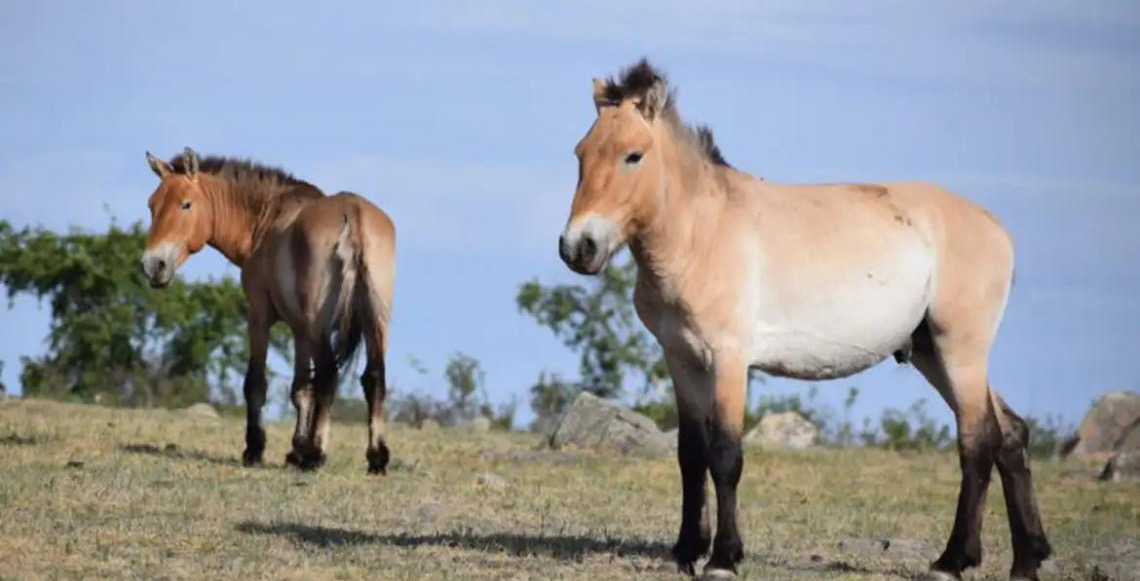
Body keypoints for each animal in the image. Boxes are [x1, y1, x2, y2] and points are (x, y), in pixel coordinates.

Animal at [141, 148, 396, 474]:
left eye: (186, 204)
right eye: (152, 205)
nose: (153, 265)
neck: (266, 218)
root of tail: (354, 215)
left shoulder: (260, 315)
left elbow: (257, 383)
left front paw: (256, 448)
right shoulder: (300, 332)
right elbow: (301, 389)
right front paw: (295, 450)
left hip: (320, 325)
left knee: (329, 376)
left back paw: (317, 454)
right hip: (375, 324)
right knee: (373, 378)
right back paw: (376, 458)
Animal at [558, 60, 1051, 581]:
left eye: (633, 155)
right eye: (581, 153)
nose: (578, 248)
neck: (701, 233)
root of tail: (996, 228)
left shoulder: (729, 359)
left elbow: (725, 455)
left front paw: (723, 558)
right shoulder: (681, 358)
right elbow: (690, 454)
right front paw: (688, 550)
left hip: (961, 349)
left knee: (978, 441)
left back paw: (952, 560)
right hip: (929, 353)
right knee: (1011, 434)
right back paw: (1027, 559)